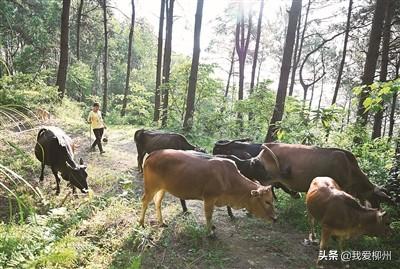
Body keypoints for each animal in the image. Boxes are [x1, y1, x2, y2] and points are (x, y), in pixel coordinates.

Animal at [139, 150, 276, 236]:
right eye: (267, 201)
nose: (275, 218)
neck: (228, 178)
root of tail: (152, 154)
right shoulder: (209, 197)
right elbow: (208, 215)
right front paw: (210, 232)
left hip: (162, 188)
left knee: (157, 202)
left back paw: (161, 222)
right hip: (151, 186)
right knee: (145, 201)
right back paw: (141, 223)